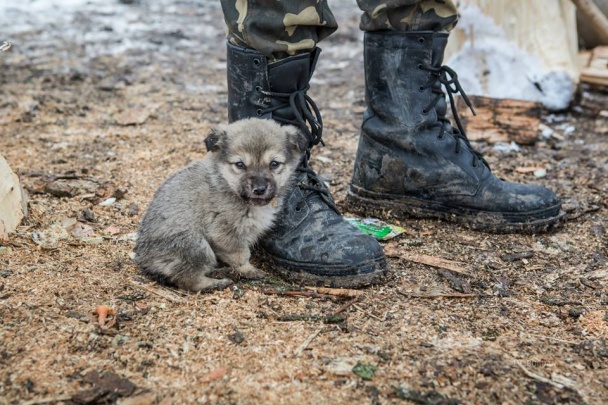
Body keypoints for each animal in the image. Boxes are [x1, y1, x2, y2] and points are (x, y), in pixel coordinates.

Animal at [133, 117, 304, 290]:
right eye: (240, 164)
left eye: (274, 164)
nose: (259, 189)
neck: (227, 184)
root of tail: (144, 258)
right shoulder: (225, 233)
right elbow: (241, 255)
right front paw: (249, 270)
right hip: (196, 245)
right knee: (187, 279)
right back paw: (216, 282)